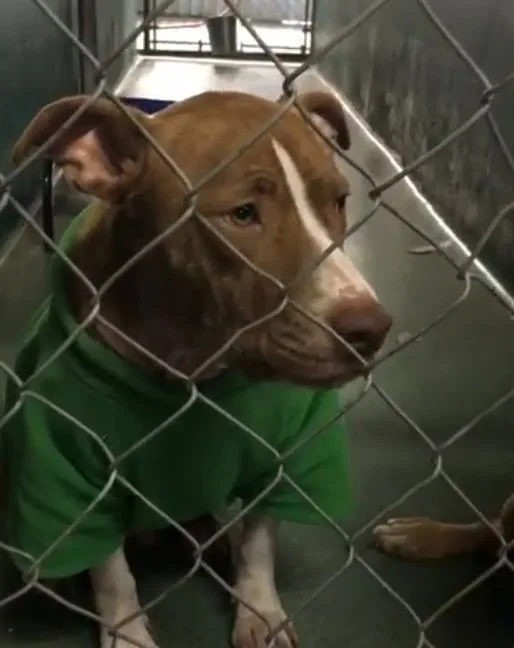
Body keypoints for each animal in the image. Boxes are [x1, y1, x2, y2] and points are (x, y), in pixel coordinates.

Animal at [2, 89, 392, 648]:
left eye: (338, 201)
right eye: (242, 214)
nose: (372, 329)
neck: (189, 361)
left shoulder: (282, 454)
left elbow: (260, 542)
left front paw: (259, 608)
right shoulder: (71, 474)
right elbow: (112, 574)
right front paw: (127, 634)